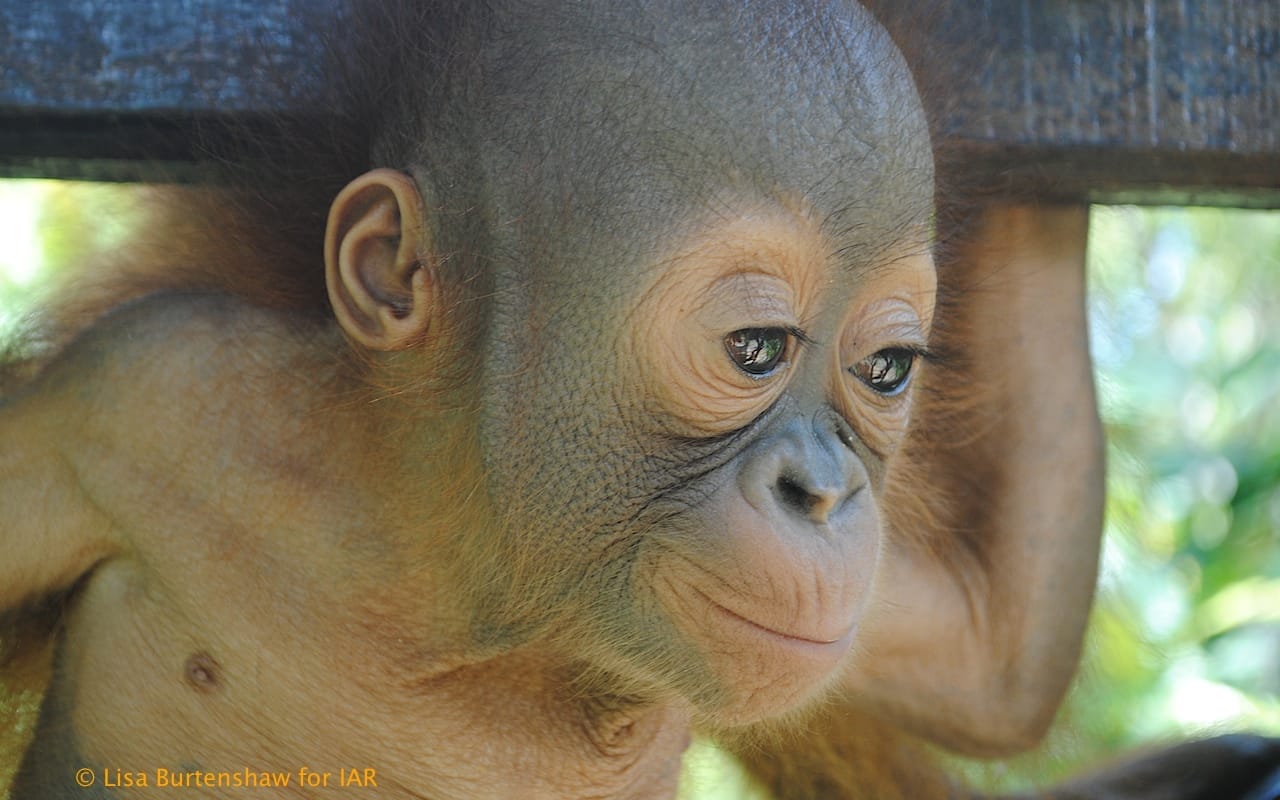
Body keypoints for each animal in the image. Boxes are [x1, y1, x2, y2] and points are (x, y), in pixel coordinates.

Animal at [2, 1, 1278, 798]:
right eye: (754, 346)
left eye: (884, 370)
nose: (823, 492)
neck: (469, 587)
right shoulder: (143, 390)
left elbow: (988, 657)